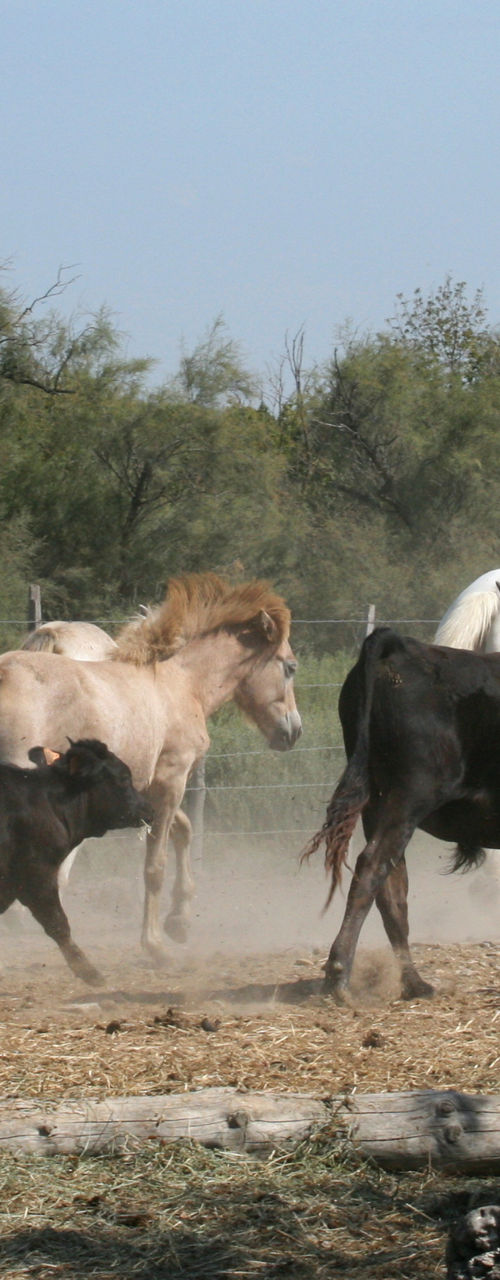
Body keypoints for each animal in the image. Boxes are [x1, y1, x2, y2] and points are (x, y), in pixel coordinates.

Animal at [304, 626, 500, 1002]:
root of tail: (400, 647)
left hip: (378, 803)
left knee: (390, 887)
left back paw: (413, 982)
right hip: (411, 794)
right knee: (373, 868)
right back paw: (339, 975)